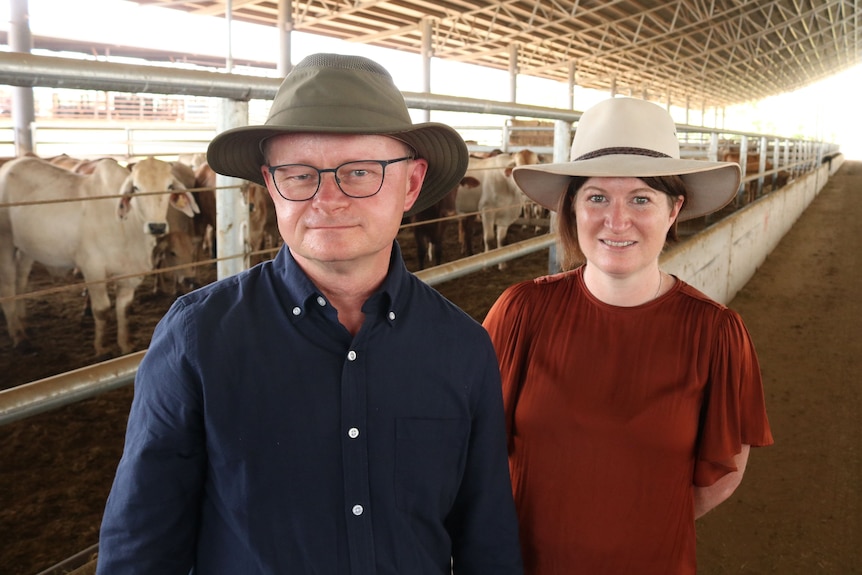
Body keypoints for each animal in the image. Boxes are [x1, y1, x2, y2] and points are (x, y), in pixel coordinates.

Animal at [0, 155, 197, 358]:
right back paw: (19, 335)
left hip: (26, 249)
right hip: (5, 243)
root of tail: (11, 165)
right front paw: (101, 348)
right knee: (7, 287)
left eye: (169, 186)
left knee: (21, 281)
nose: (156, 226)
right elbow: (102, 310)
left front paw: (125, 345)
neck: (128, 226)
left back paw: (23, 322)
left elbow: (124, 308)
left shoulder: (129, 273)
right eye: (136, 188)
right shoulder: (92, 268)